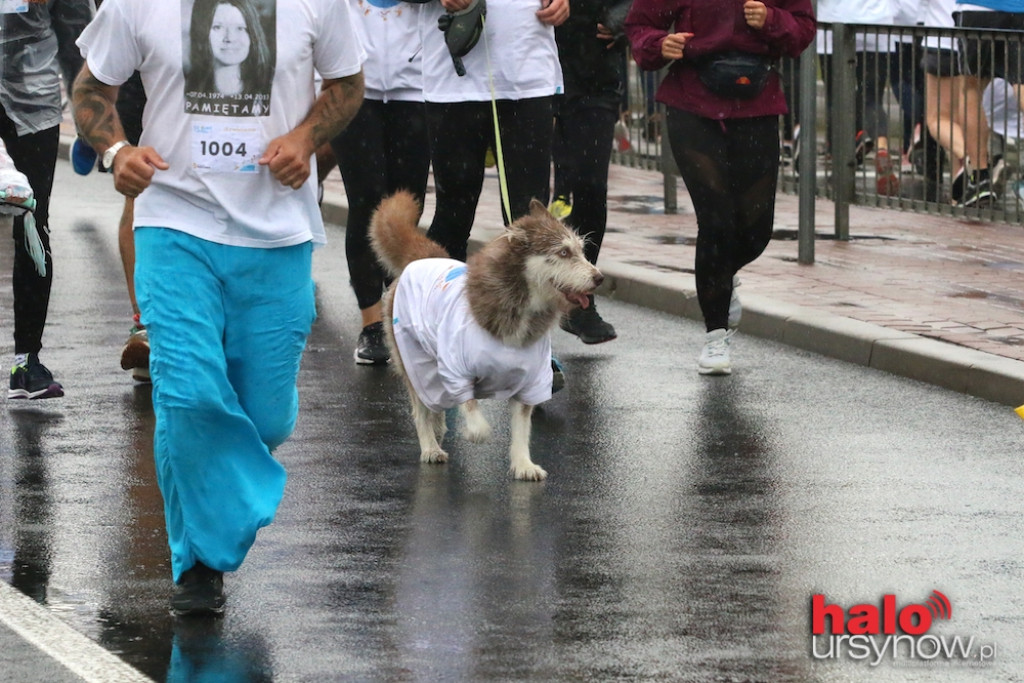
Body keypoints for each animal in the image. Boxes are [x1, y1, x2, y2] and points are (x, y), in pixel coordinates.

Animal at [372, 191, 602, 481]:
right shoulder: (456, 370)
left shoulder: (532, 381)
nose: (599, 277)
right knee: (421, 407)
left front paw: (523, 464)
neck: (519, 306)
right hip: (415, 362)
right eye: (563, 252)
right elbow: (471, 410)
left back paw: (438, 429)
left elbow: (522, 428)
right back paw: (430, 446)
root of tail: (422, 259)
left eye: (581, 251)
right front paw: (475, 431)